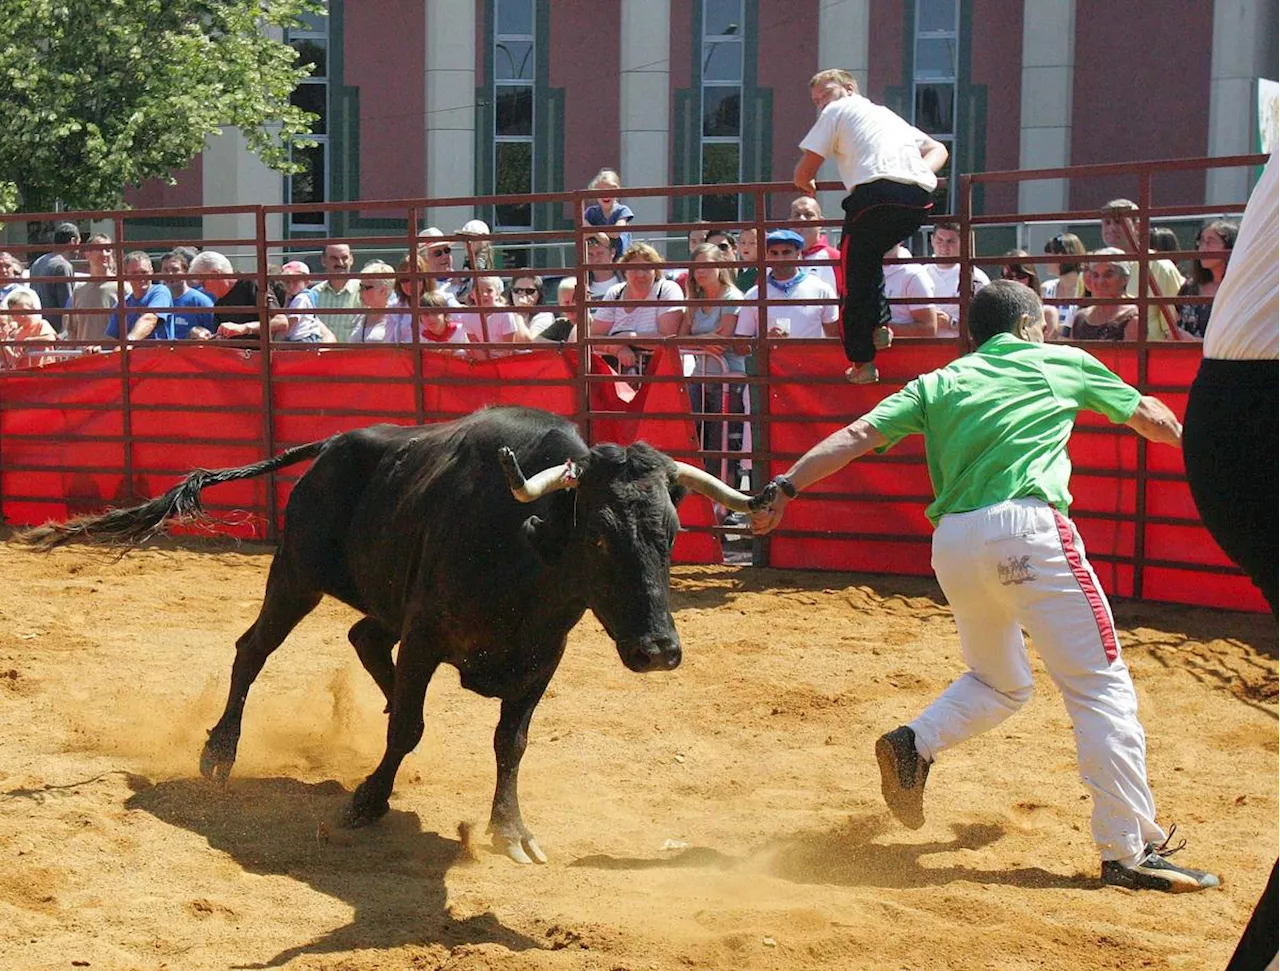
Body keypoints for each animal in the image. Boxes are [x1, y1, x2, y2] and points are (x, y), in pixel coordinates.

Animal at [27, 406, 768, 859]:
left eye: (670, 533)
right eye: (601, 538)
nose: (658, 651)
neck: (524, 548)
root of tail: (332, 446)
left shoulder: (540, 658)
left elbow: (511, 742)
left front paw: (511, 830)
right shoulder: (427, 638)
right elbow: (408, 728)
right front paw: (368, 799)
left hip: (373, 598)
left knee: (362, 638)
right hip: (295, 575)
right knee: (253, 652)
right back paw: (219, 751)